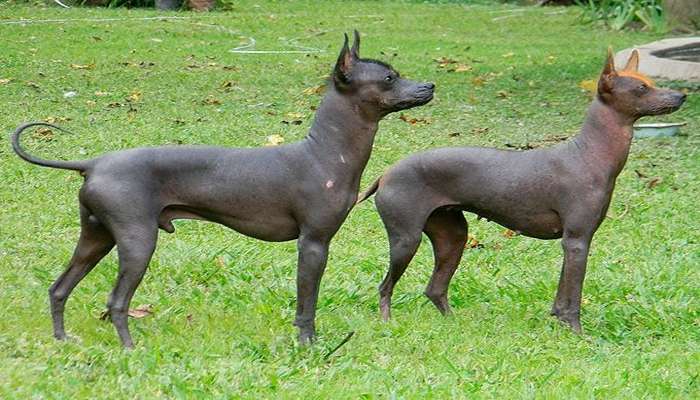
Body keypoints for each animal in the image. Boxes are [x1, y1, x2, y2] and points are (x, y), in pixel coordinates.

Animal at [13, 31, 434, 346]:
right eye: (389, 79)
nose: (429, 85)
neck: (324, 152)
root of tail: (94, 163)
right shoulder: (313, 243)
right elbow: (307, 305)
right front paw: (308, 344)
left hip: (96, 237)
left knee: (58, 288)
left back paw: (62, 339)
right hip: (137, 239)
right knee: (116, 301)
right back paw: (129, 348)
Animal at [358, 48, 688, 332]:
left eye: (651, 83)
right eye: (641, 88)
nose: (682, 95)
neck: (589, 153)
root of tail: (386, 174)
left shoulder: (573, 244)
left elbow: (561, 297)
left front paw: (559, 322)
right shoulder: (577, 241)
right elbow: (573, 298)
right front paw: (577, 333)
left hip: (452, 237)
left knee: (434, 289)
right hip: (406, 239)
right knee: (386, 287)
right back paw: (387, 323)